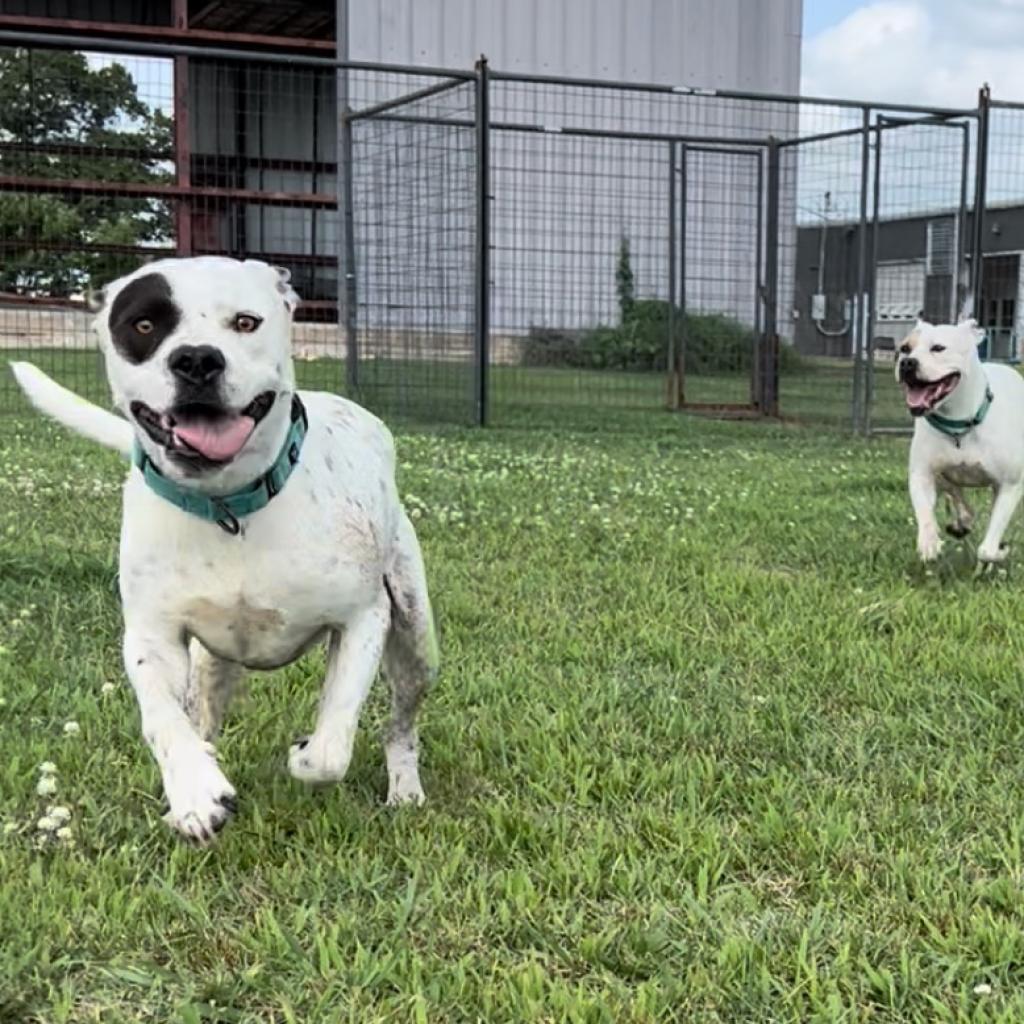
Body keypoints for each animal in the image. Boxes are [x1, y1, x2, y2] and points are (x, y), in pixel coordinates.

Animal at [9, 253, 438, 839]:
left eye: (245, 322)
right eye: (144, 325)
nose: (195, 359)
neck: (230, 507)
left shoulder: (362, 620)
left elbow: (331, 746)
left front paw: (304, 753)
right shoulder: (154, 638)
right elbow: (164, 722)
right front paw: (195, 792)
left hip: (416, 640)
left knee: (400, 726)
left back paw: (405, 789)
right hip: (210, 663)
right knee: (201, 718)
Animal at [892, 315, 1024, 565]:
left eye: (938, 348)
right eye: (904, 349)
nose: (908, 363)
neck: (959, 426)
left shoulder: (1010, 485)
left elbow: (988, 548)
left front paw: (999, 551)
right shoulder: (922, 474)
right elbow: (924, 512)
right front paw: (929, 543)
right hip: (944, 474)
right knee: (953, 490)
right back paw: (962, 521)